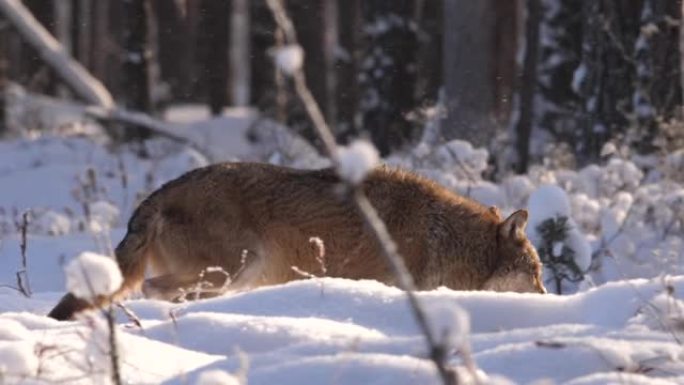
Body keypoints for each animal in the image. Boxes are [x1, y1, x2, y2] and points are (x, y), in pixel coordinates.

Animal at [48, 161, 544, 318]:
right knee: (155, 289)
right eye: (536, 272)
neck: (443, 236)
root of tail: (157, 193)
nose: (547, 297)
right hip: (235, 267)